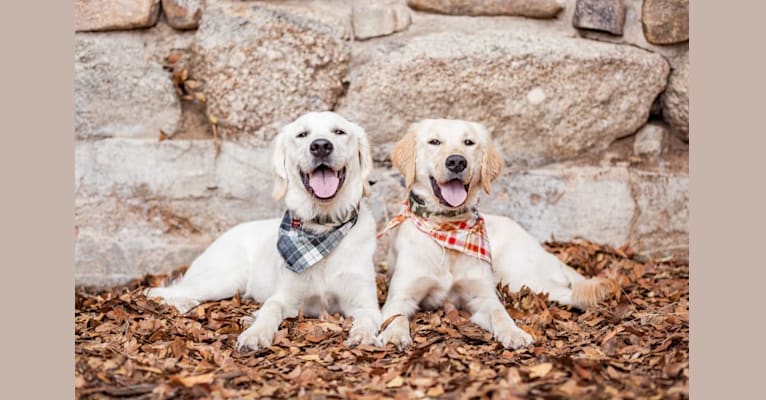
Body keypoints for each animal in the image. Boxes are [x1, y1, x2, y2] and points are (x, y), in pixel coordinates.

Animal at [146, 111, 382, 348]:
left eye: (339, 132)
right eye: (302, 134)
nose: (321, 146)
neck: (322, 229)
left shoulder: (364, 301)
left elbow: (368, 317)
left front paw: (363, 335)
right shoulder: (285, 295)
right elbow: (271, 307)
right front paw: (256, 333)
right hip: (225, 279)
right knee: (159, 290)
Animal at [378, 119, 616, 350]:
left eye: (468, 142)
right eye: (434, 142)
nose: (457, 162)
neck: (447, 228)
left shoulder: (483, 296)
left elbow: (500, 313)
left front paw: (514, 333)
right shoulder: (401, 296)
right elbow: (396, 316)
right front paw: (393, 335)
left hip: (521, 277)